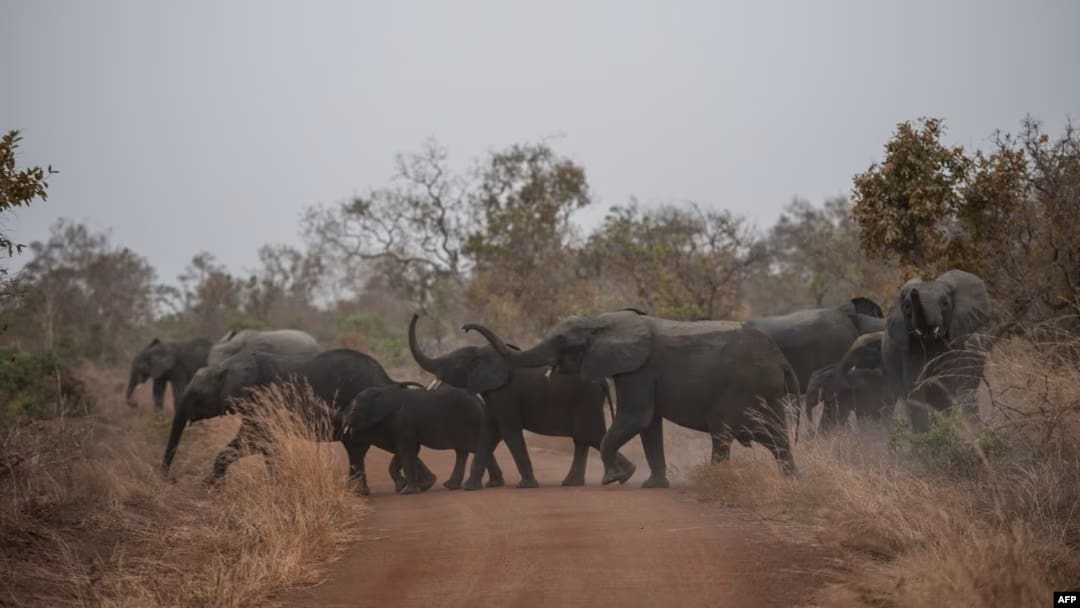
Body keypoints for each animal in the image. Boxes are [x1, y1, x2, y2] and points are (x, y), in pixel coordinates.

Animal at [162, 348, 437, 495]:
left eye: (195, 396)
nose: (171, 480)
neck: (226, 367)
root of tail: (388, 378)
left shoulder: (258, 398)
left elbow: (255, 439)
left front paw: (210, 487)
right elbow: (262, 441)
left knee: (366, 446)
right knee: (364, 447)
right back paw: (420, 485)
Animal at [343, 384, 506, 494]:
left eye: (355, 409)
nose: (346, 426)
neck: (381, 392)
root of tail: (479, 401)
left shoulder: (402, 421)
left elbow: (405, 449)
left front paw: (407, 491)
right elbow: (408, 450)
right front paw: (407, 487)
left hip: (471, 420)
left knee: (474, 447)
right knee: (464, 450)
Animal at [409, 314, 634, 490]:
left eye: (453, 364)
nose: (464, 327)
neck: (484, 352)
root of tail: (603, 381)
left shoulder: (505, 394)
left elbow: (510, 433)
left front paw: (526, 486)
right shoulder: (492, 396)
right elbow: (487, 433)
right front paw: (471, 488)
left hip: (586, 400)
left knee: (592, 435)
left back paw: (623, 475)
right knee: (583, 439)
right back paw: (576, 482)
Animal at [464, 310, 801, 488]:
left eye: (560, 340)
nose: (465, 327)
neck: (599, 323)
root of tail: (782, 360)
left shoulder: (637, 369)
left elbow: (636, 418)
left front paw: (615, 478)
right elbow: (649, 427)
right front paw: (652, 485)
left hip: (740, 388)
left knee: (723, 432)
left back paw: (716, 480)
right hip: (766, 394)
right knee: (778, 437)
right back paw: (792, 482)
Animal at [882, 269, 992, 432]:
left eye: (945, 303)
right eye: (907, 306)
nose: (914, 291)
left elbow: (944, 388)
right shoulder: (909, 349)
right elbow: (916, 388)